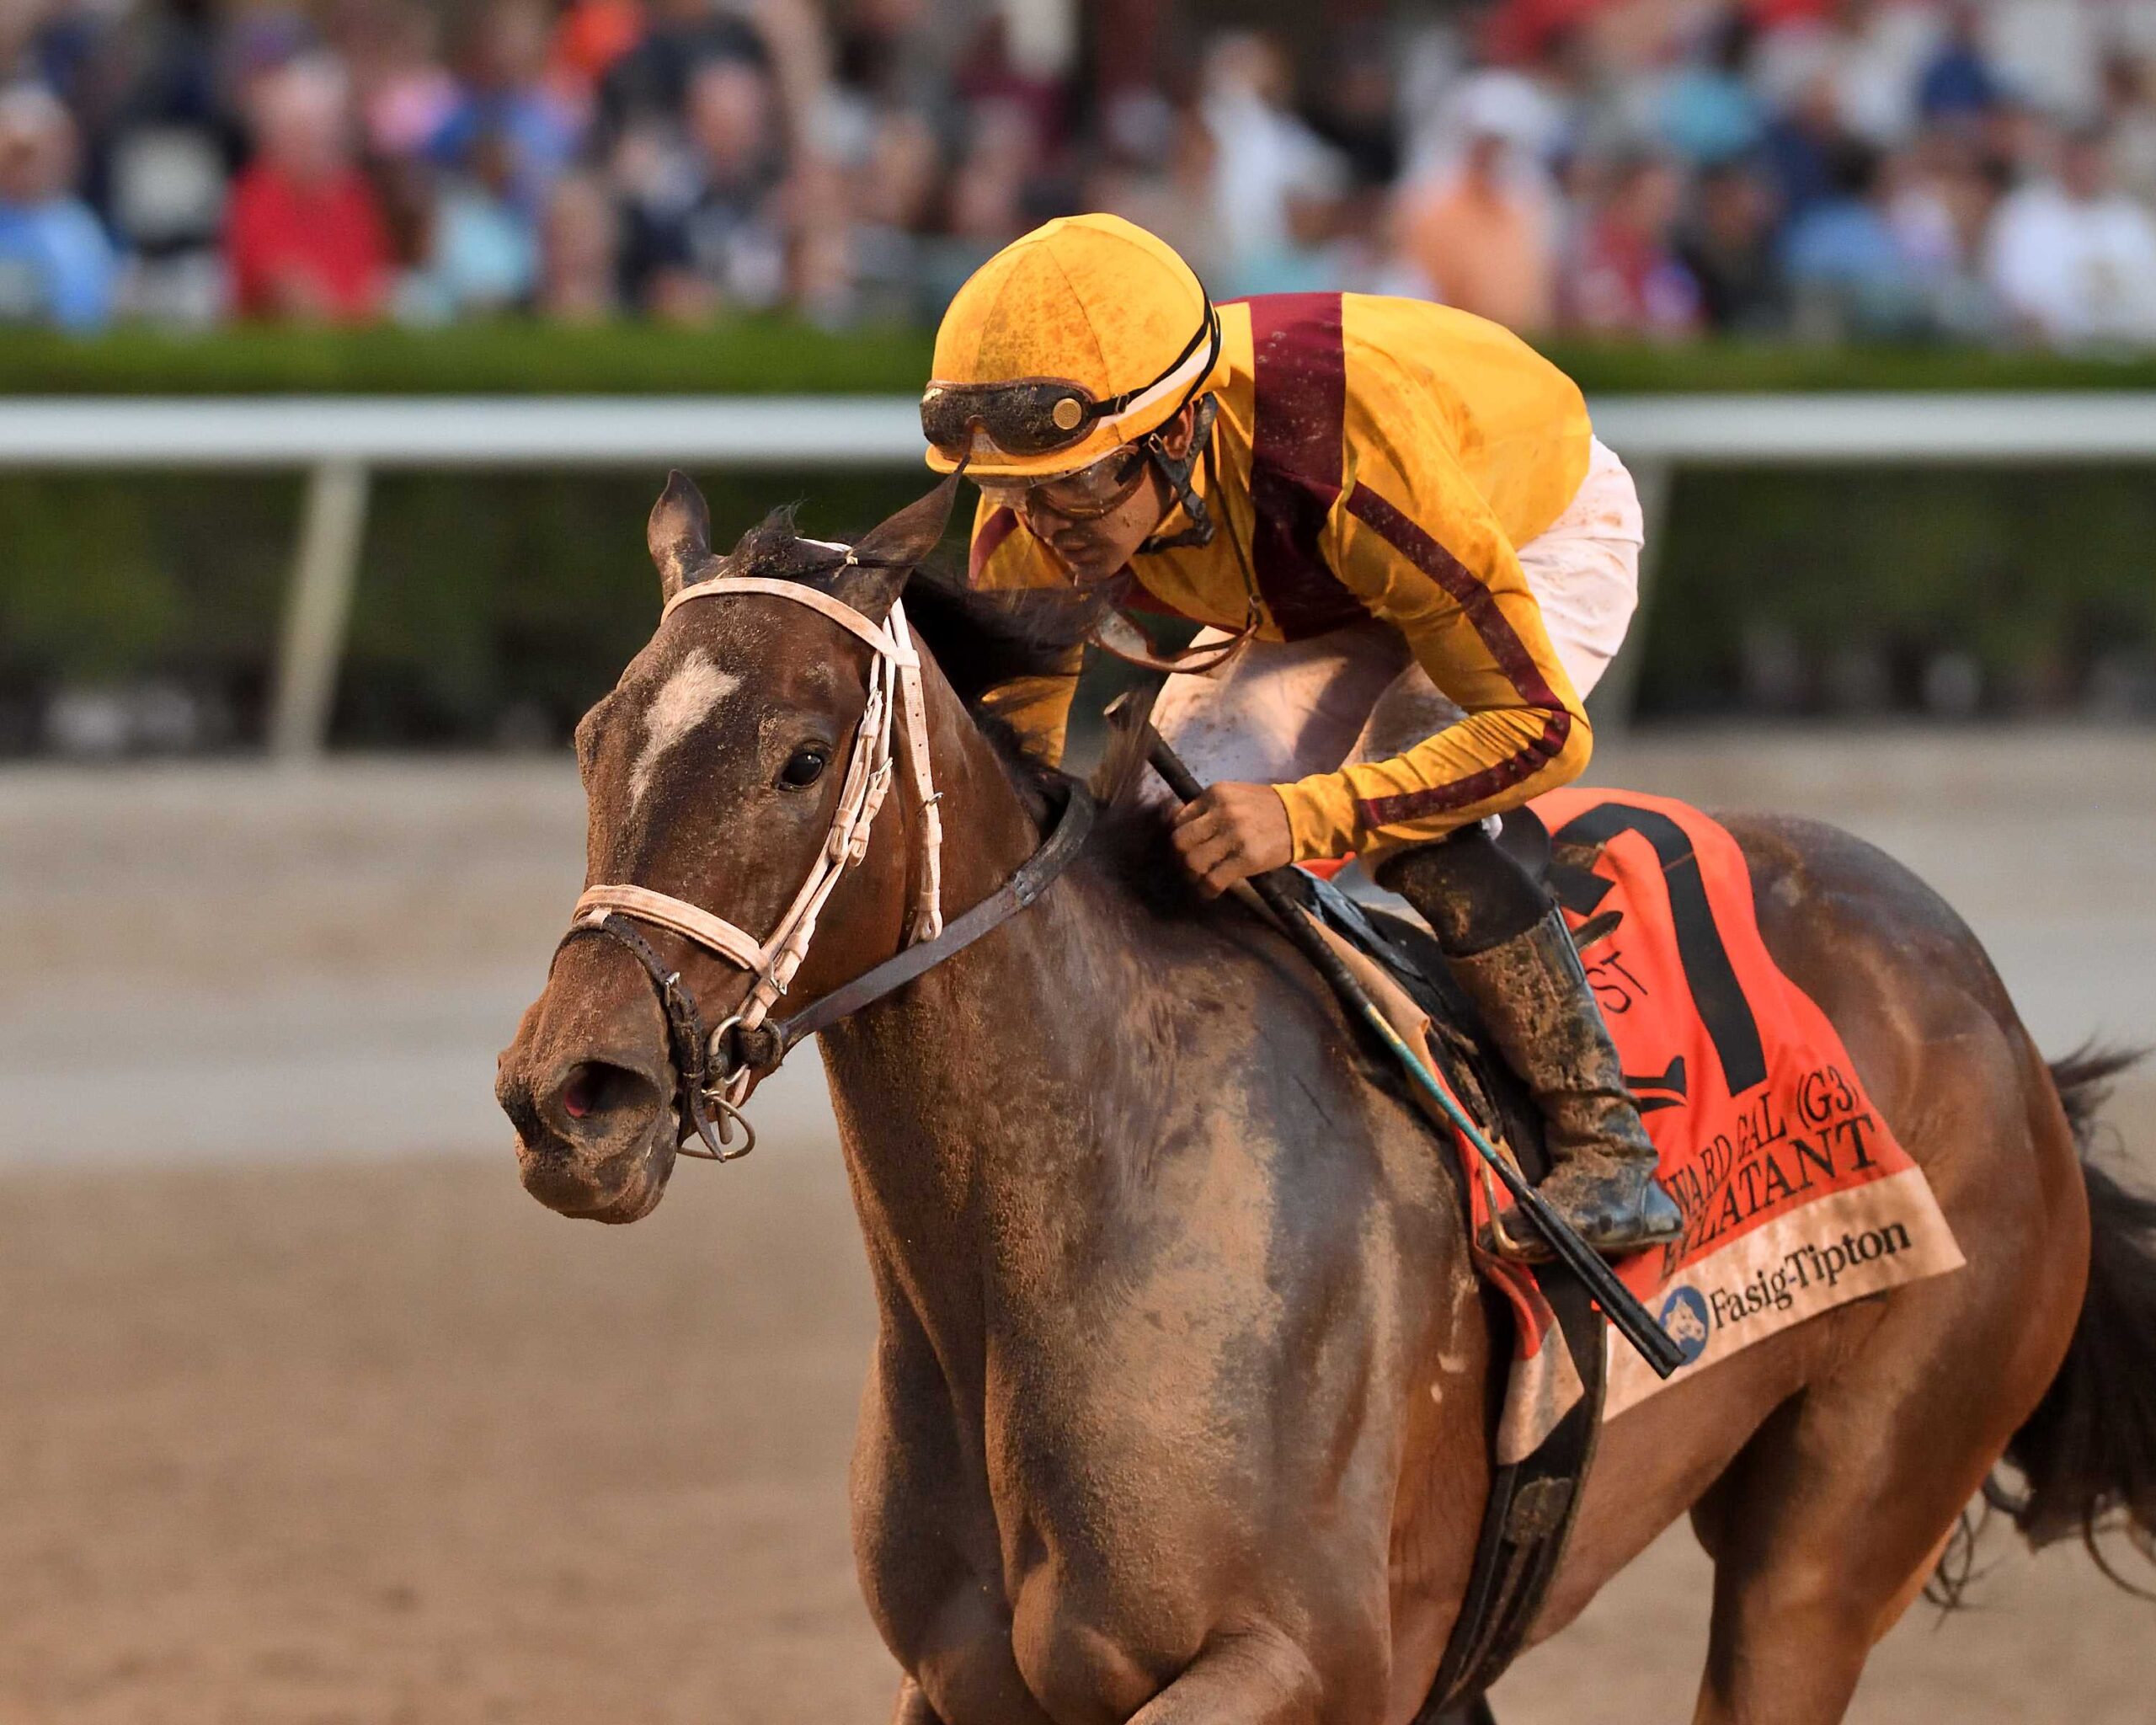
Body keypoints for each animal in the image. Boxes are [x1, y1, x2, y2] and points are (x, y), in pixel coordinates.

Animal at [496, 471, 2156, 1724]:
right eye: (592, 738)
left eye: (801, 757)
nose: (570, 1092)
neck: (1077, 1224)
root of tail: (1993, 1014)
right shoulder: (964, 1684)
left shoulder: (1308, 1662)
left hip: (1843, 1519)